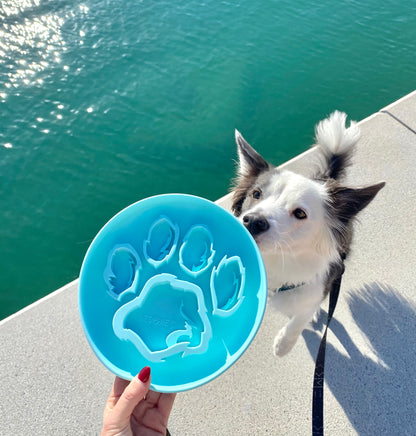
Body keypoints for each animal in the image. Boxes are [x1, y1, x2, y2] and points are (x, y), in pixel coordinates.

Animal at [232, 110, 386, 356]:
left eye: (300, 213)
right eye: (256, 194)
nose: (253, 221)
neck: (279, 259)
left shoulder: (322, 283)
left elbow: (300, 317)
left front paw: (284, 344)